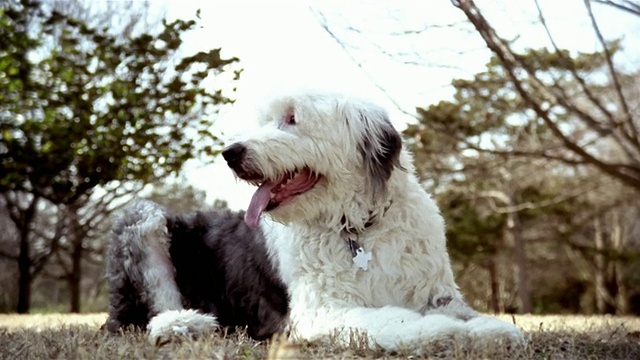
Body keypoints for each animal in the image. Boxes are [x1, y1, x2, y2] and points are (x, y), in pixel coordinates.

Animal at [221, 90, 524, 352]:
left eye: (292, 117)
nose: (230, 153)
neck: (357, 228)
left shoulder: (435, 292)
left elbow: (467, 313)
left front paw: (496, 331)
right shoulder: (323, 310)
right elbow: (393, 319)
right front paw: (443, 330)